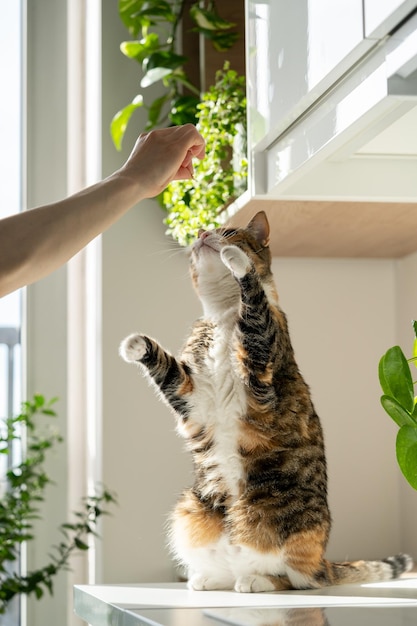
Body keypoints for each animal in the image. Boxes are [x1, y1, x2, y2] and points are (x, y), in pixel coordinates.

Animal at [118, 210, 412, 588]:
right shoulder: (191, 396)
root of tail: (325, 561)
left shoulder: (260, 365)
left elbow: (254, 306)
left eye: (229, 231)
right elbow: (168, 371)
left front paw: (238, 262)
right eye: (200, 233)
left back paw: (257, 581)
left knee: (297, 578)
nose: (202, 234)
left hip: (279, 518)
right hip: (190, 508)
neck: (224, 313)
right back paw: (209, 578)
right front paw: (136, 346)